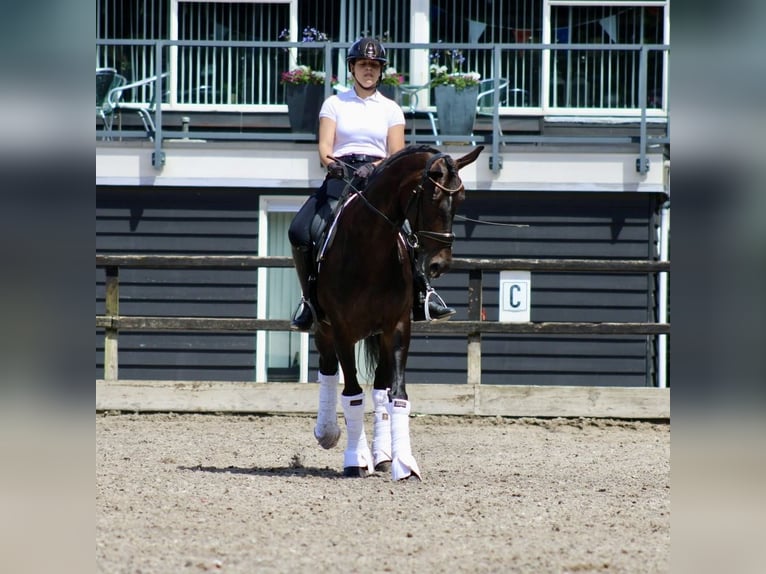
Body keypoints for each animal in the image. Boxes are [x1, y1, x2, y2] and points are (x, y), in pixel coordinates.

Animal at [308, 144, 484, 482]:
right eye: (432, 196)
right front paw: (355, 460)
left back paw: (382, 456)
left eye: (462, 197)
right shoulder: (342, 329)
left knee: (379, 390)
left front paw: (404, 462)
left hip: (380, 335)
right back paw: (328, 433)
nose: (439, 265)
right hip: (324, 327)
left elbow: (397, 395)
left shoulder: (398, 327)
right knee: (328, 369)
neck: (370, 246)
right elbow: (352, 394)